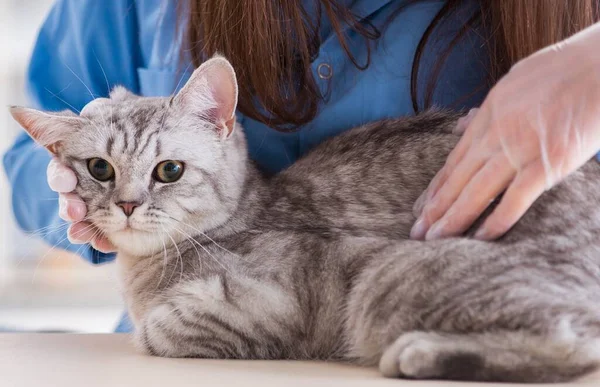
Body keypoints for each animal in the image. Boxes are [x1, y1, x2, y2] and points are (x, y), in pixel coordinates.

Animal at [11, 56, 600, 384]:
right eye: (99, 169)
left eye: (169, 170)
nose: (129, 204)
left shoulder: (273, 302)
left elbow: (158, 330)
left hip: (385, 281)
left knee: (577, 348)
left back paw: (419, 352)